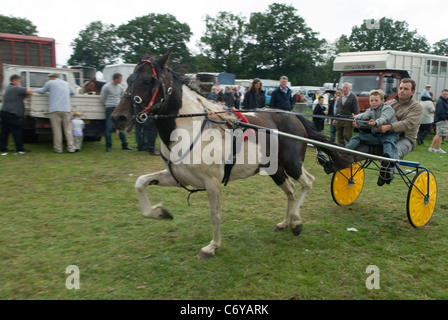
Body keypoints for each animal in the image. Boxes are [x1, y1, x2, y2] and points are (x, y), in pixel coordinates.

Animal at [110, 51, 352, 258]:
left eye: (149, 80)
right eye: (129, 79)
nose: (118, 118)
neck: (190, 127)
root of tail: (293, 117)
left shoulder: (212, 181)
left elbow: (215, 214)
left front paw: (212, 247)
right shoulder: (176, 176)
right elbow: (140, 182)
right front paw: (160, 212)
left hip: (293, 164)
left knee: (308, 182)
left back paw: (296, 221)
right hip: (275, 169)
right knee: (291, 190)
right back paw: (285, 222)